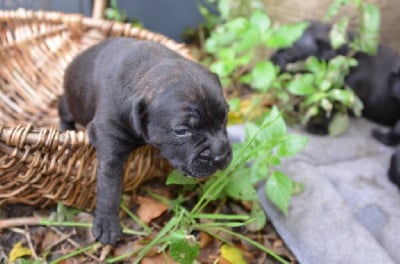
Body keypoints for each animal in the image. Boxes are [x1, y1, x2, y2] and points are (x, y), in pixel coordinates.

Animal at [58, 37, 233, 245]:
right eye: (181, 131)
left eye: (225, 117)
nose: (220, 156)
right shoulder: (109, 138)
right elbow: (109, 186)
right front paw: (107, 223)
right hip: (69, 104)